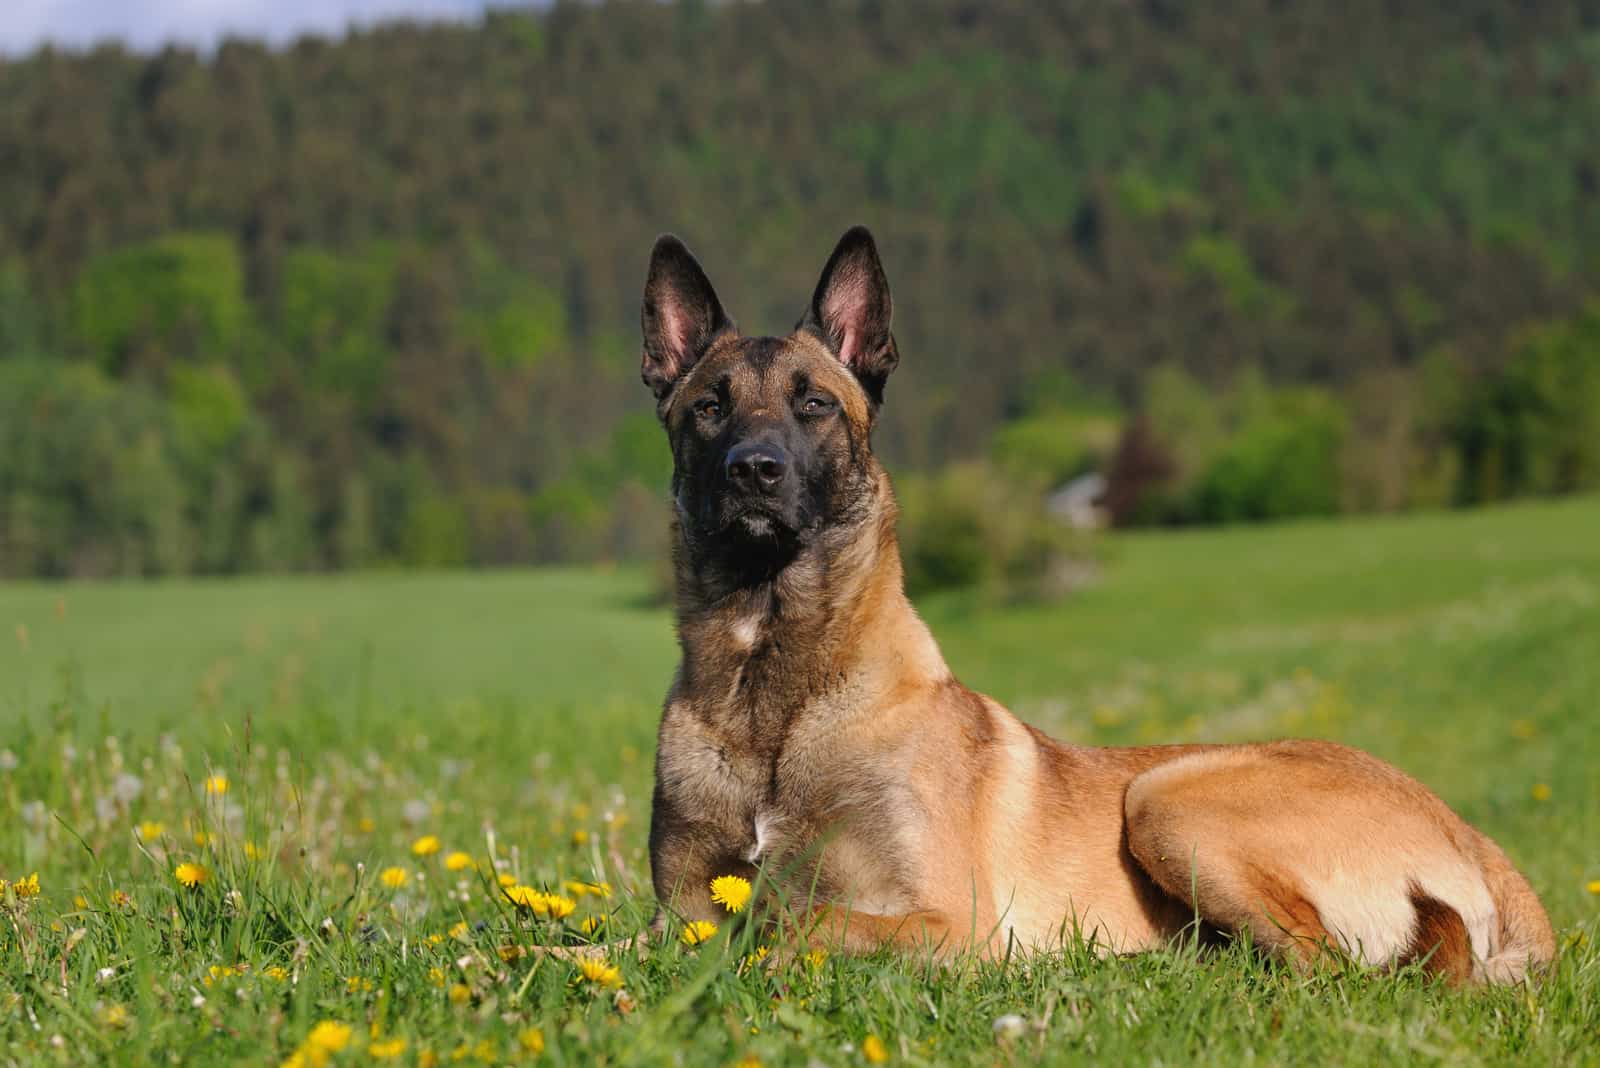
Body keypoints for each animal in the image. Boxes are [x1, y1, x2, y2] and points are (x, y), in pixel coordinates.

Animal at [633, 225, 1548, 984]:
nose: (753, 471)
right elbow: (641, 938)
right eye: (709, 407)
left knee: (1325, 966)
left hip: (1167, 798)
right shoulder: (678, 910)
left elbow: (798, 922)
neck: (774, 692)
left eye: (814, 403)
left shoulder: (951, 924)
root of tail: (1472, 837)